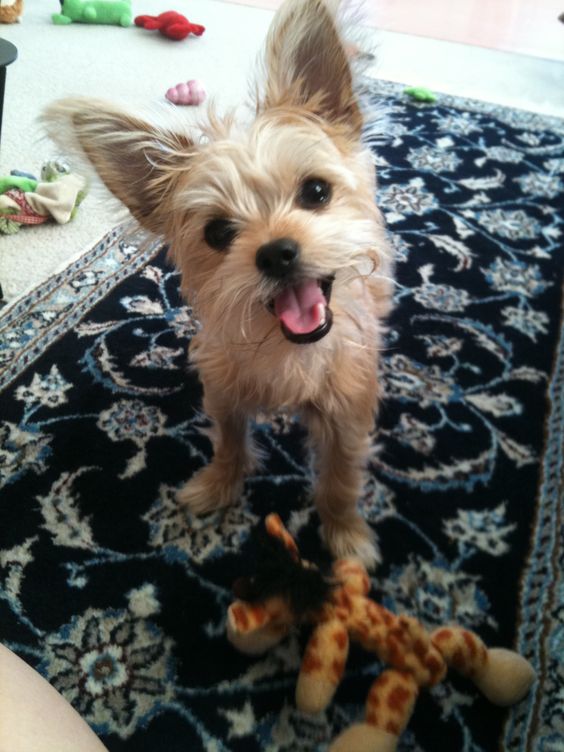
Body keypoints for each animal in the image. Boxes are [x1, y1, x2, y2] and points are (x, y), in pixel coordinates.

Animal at [45, 0, 392, 564]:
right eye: (217, 232)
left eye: (316, 192)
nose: (276, 252)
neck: (284, 352)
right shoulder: (225, 392)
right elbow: (229, 443)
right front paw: (217, 488)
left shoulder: (347, 414)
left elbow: (340, 479)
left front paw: (345, 535)